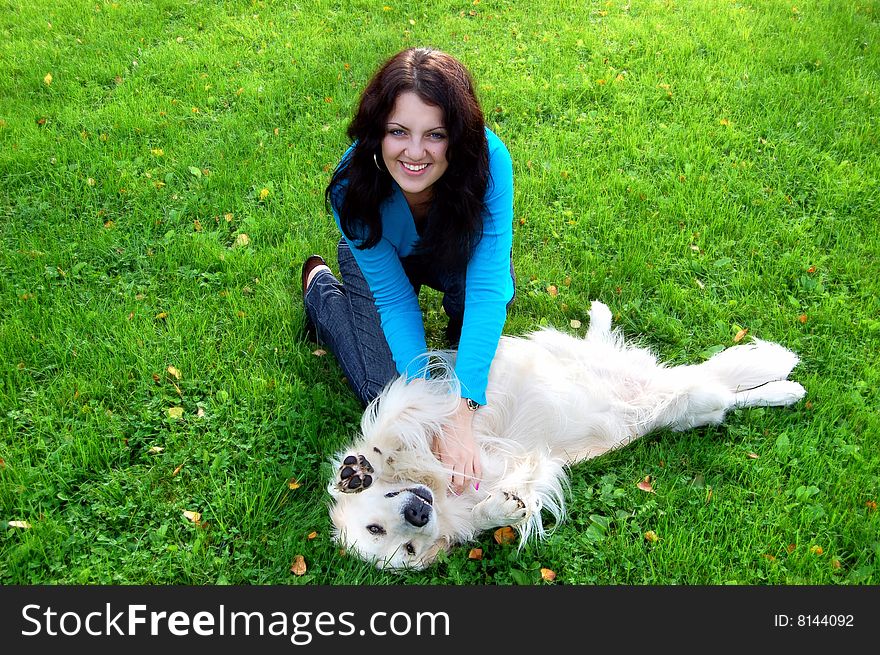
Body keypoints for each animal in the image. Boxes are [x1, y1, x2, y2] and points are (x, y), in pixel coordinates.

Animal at [324, 302, 804, 568]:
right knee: (730, 394)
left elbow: (390, 431)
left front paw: (361, 469)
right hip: (696, 405)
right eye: (407, 550)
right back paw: (788, 389)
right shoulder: (526, 471)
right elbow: (498, 509)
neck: (442, 495)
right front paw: (501, 509)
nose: (418, 516)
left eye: (376, 527)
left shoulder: (425, 404)